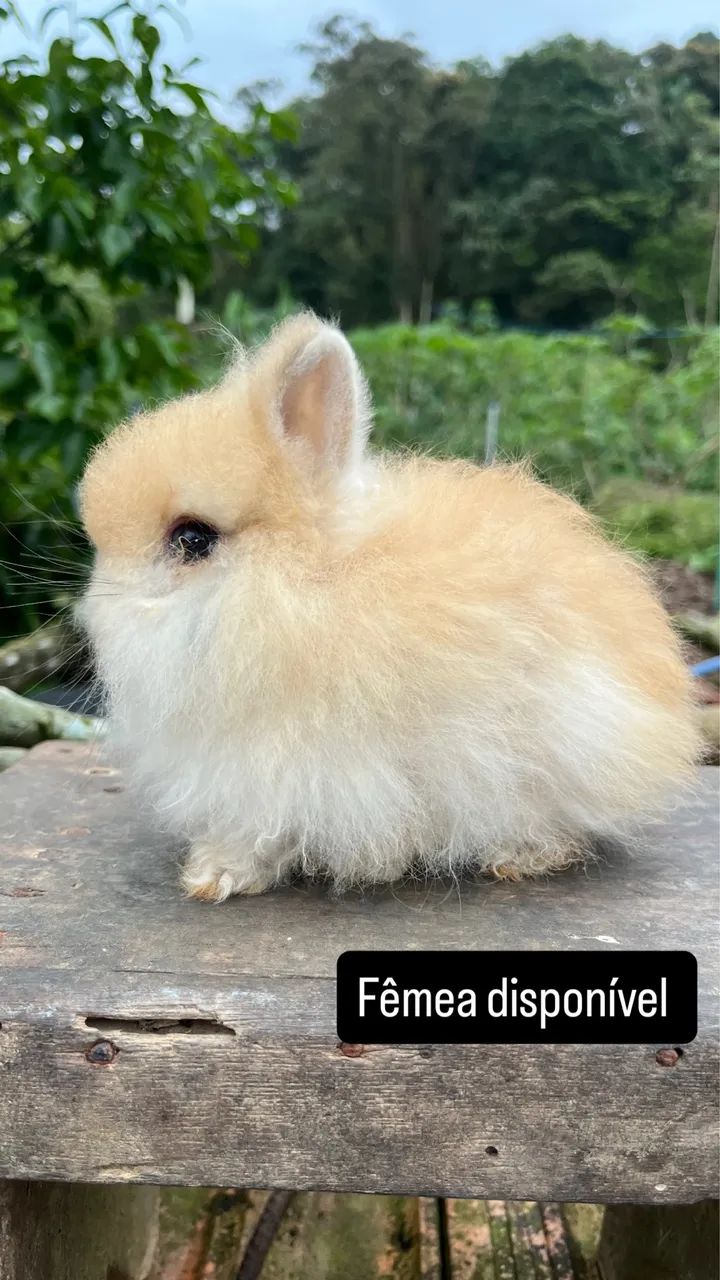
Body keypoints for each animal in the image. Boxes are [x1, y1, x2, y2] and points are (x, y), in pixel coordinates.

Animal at [78, 313, 700, 901]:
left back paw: (517, 857)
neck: (313, 586)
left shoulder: (291, 769)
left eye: (192, 539)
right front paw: (216, 873)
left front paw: (221, 872)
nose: (96, 606)